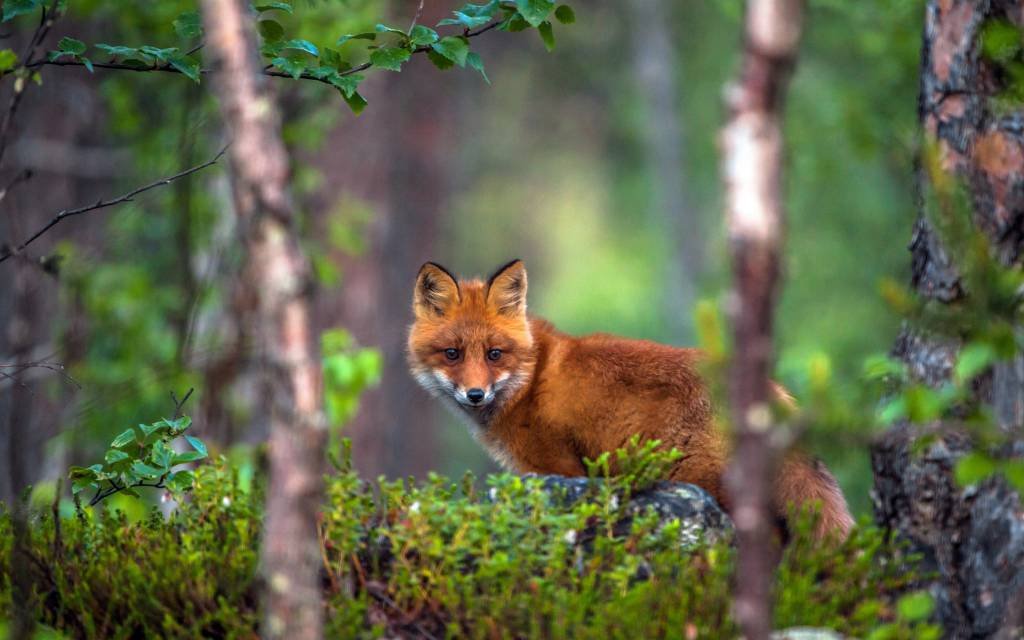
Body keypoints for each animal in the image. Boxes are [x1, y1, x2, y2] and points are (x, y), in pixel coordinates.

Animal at [403, 257, 851, 536]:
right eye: (452, 354)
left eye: (495, 354)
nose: (475, 394)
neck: (528, 381)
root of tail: (774, 394)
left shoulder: (559, 469)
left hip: (700, 479)